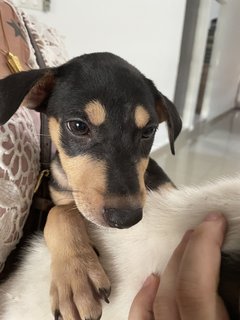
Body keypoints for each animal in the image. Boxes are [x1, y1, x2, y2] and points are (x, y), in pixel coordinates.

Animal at [0, 52, 181, 320]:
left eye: (148, 131)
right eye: (78, 126)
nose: (126, 219)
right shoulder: (62, 197)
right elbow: (60, 211)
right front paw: (77, 278)